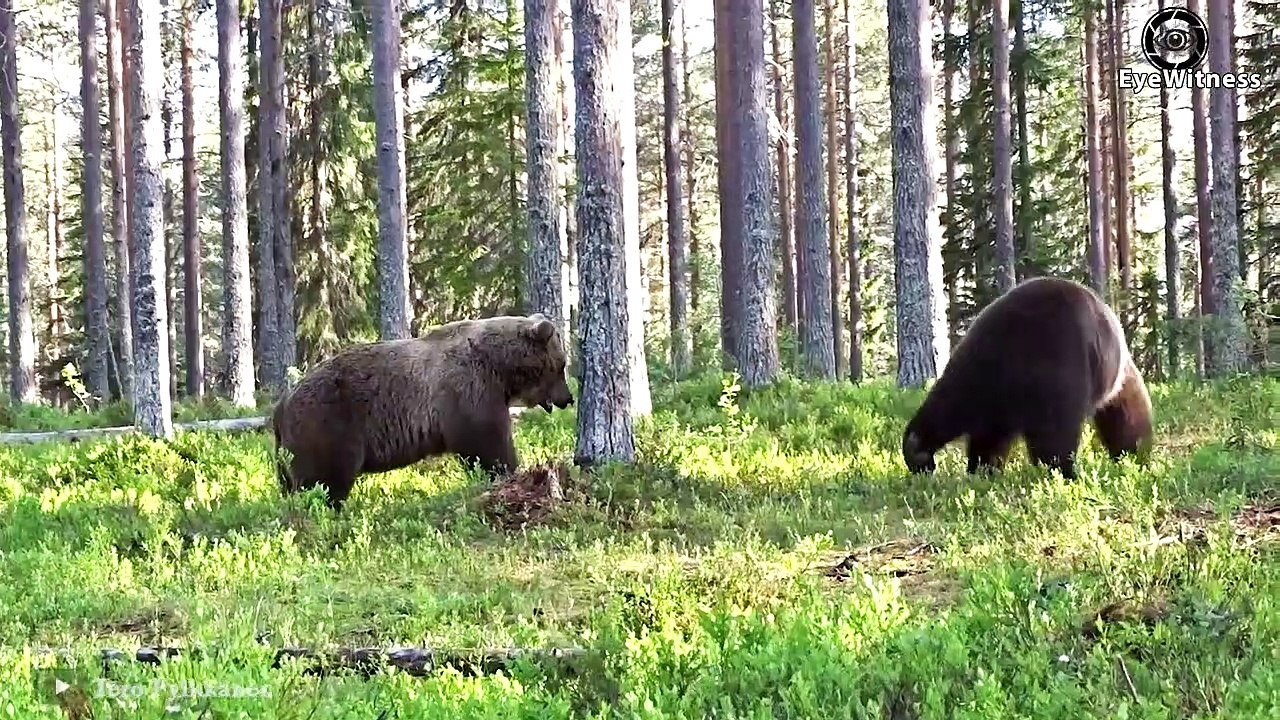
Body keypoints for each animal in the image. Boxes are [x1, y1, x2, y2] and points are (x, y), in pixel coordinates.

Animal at [271, 313, 574, 509]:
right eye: (561, 364)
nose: (568, 398)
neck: (499, 366)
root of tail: (281, 405)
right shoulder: (467, 392)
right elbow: (487, 442)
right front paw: (508, 471)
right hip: (328, 425)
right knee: (323, 479)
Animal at [901, 276, 1153, 480]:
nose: (923, 473)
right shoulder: (996, 403)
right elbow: (989, 439)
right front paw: (983, 470)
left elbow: (1055, 437)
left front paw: (1063, 471)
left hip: (1114, 377)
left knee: (1127, 419)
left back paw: (1134, 454)